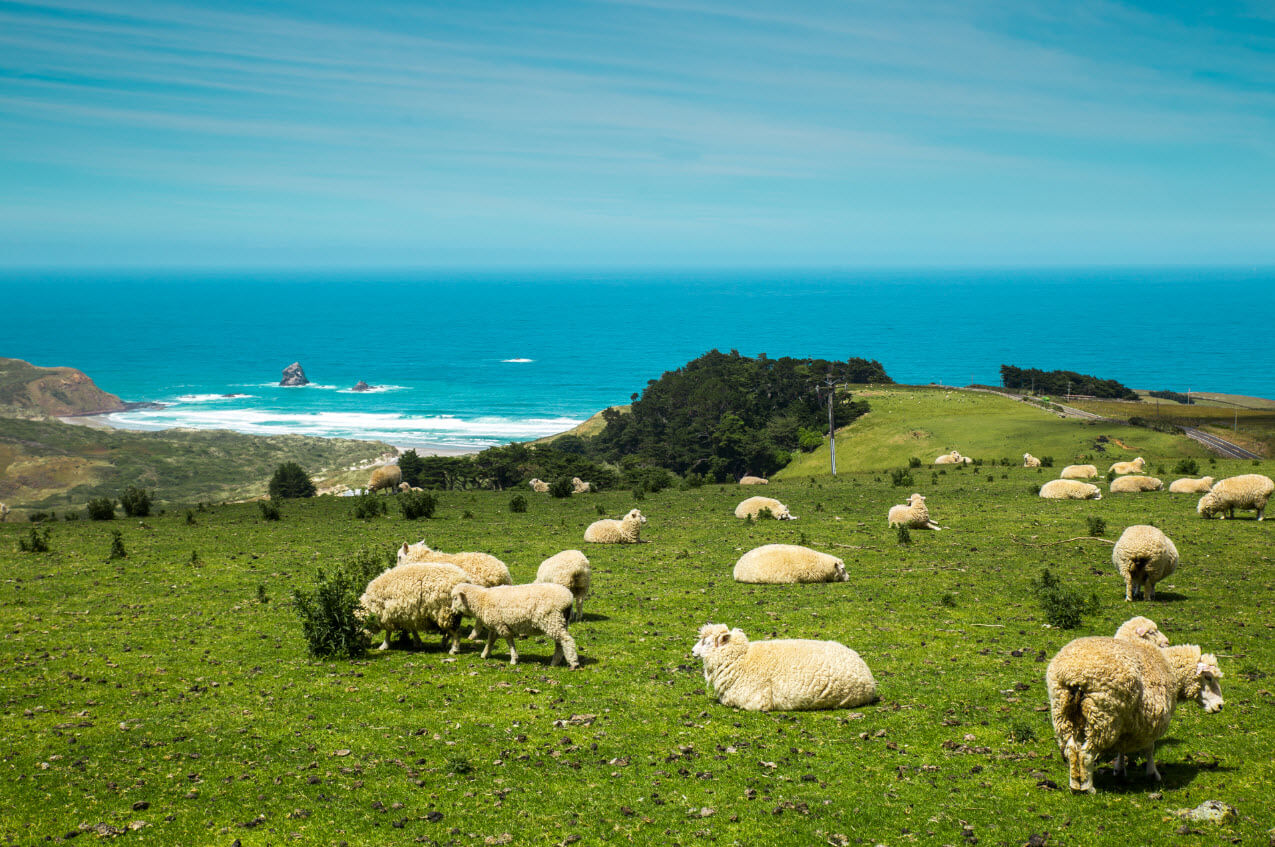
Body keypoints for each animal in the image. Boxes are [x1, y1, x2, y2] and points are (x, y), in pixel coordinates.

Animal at [448, 581, 578, 668]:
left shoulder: (501, 625)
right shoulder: (496, 626)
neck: (482, 600)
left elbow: (509, 642)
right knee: (560, 643)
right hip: (560, 622)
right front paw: (485, 654)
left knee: (567, 640)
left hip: (552, 620)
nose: (452, 611)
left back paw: (573, 662)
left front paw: (514, 659)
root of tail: (568, 598)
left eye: (455, 598)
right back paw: (555, 662)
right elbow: (490, 641)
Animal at [1045, 635, 1224, 795]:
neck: (1170, 670)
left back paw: (1075, 784)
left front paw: (1119, 769)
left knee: (1071, 749)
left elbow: (1122, 747)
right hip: (1103, 717)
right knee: (1086, 754)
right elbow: (1150, 748)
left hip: (1064, 713)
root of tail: (1075, 674)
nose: (1220, 705)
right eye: (1208, 677)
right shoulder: (1151, 719)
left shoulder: (1128, 722)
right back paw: (1088, 788)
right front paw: (1153, 773)